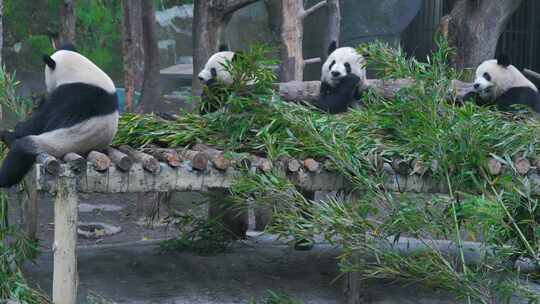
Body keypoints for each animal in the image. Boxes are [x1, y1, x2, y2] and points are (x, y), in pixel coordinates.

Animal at [0, 43, 118, 188]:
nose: (47, 89)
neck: (80, 72)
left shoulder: (72, 95)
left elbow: (45, 119)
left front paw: (19, 127)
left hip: (58, 144)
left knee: (22, 150)